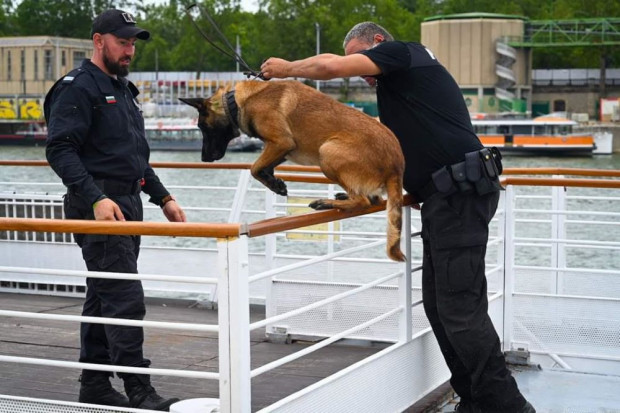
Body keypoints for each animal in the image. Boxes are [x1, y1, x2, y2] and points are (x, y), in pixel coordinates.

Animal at [178, 80, 406, 260]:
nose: (204, 158)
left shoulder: (281, 141)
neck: (236, 101)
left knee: (363, 201)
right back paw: (342, 197)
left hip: (327, 151)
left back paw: (328, 202)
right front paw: (274, 181)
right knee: (372, 199)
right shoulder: (282, 149)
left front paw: (274, 184)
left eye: (201, 127)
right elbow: (263, 167)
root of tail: (397, 165)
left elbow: (254, 167)